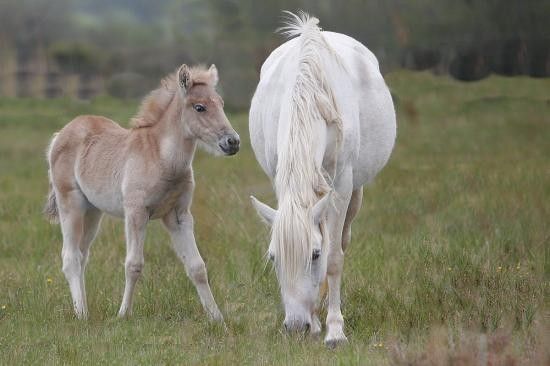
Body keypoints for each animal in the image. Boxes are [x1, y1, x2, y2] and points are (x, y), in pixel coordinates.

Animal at [44, 63, 239, 320]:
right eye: (200, 107)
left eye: (221, 103)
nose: (233, 142)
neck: (162, 158)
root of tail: (59, 135)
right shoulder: (136, 212)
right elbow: (133, 265)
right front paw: (123, 314)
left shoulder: (179, 215)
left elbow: (197, 266)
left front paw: (217, 319)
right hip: (71, 204)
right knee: (70, 257)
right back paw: (82, 315)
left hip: (93, 211)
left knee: (82, 254)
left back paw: (84, 308)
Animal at [250, 12, 396, 346]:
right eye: (273, 258)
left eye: (314, 255)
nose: (295, 326)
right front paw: (316, 322)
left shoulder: (341, 186)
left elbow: (334, 258)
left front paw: (335, 330)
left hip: (354, 193)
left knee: (341, 241)